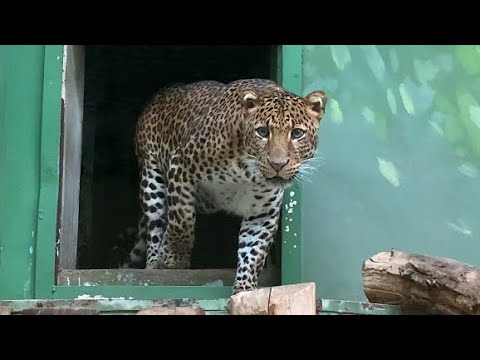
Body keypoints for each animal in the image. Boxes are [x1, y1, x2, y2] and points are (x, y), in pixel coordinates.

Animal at [122, 77, 328, 294]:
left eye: (296, 133)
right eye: (263, 132)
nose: (278, 164)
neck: (247, 173)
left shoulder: (262, 213)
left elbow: (253, 251)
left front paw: (245, 288)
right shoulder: (180, 166)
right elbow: (182, 221)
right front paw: (174, 259)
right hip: (151, 178)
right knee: (156, 227)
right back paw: (155, 262)